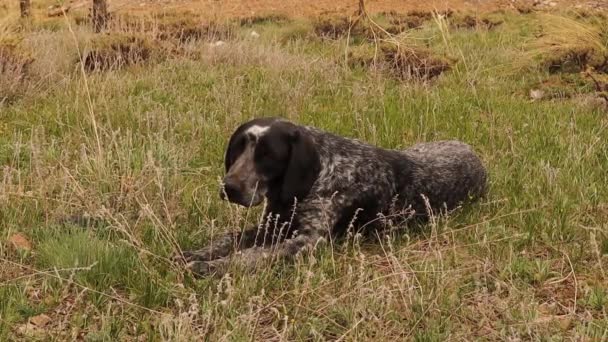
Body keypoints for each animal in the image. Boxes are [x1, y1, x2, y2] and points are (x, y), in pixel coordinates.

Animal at [182, 117, 490, 276]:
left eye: (268, 155)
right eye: (237, 148)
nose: (230, 187)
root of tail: (477, 158)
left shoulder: (307, 242)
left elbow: (252, 255)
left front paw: (210, 266)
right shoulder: (273, 225)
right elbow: (229, 238)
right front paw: (198, 252)